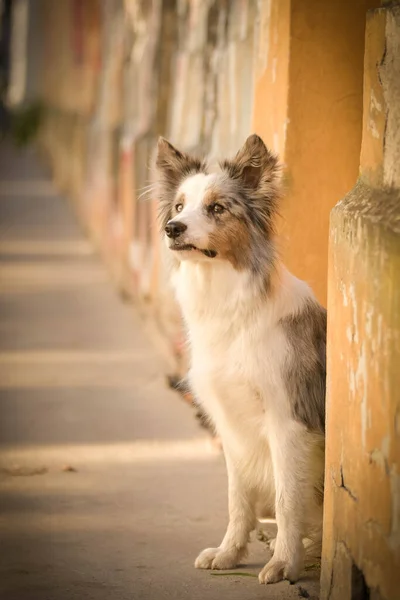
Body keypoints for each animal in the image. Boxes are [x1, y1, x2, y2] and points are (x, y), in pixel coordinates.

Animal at [155, 134, 326, 584]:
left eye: (217, 208)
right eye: (178, 206)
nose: (171, 229)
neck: (231, 306)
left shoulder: (288, 421)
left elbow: (286, 501)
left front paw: (283, 563)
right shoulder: (230, 422)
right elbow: (238, 497)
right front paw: (230, 553)